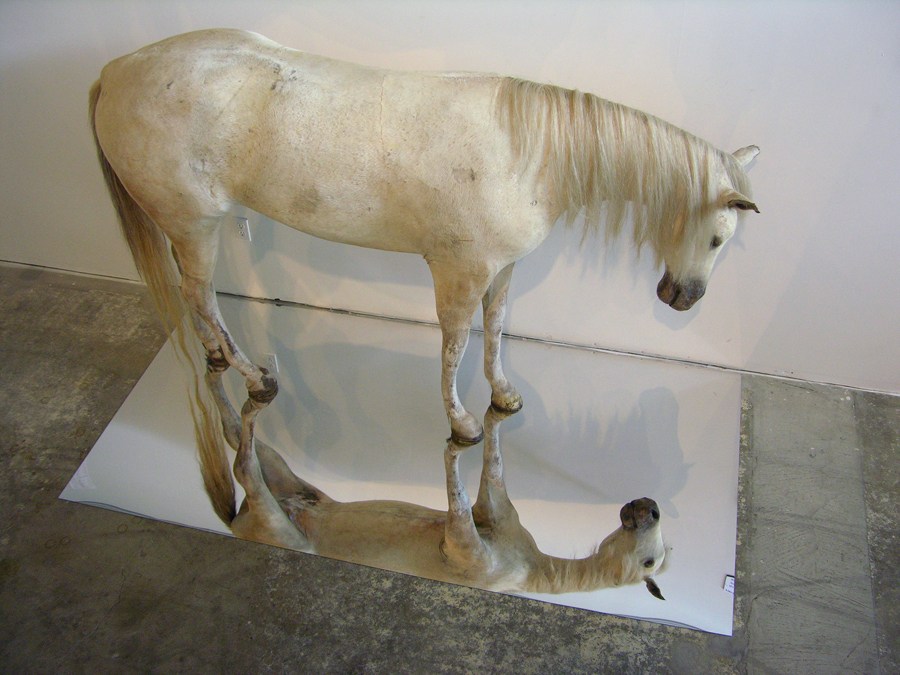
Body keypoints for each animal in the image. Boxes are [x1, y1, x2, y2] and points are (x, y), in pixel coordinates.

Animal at [89, 28, 759, 446]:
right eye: (719, 238)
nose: (683, 298)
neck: (527, 153)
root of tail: (117, 70)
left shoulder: (501, 270)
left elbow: (495, 327)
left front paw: (503, 395)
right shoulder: (460, 271)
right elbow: (455, 343)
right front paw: (462, 421)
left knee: (197, 299)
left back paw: (219, 356)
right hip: (194, 225)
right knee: (200, 296)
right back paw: (253, 376)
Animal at [198, 357, 669, 597]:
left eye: (651, 561)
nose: (648, 507)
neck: (532, 570)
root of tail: (235, 521)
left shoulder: (463, 546)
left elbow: (456, 488)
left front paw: (459, 436)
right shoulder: (491, 507)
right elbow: (492, 458)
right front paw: (495, 408)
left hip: (274, 521)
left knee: (243, 461)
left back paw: (248, 385)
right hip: (284, 479)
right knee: (237, 435)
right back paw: (223, 367)